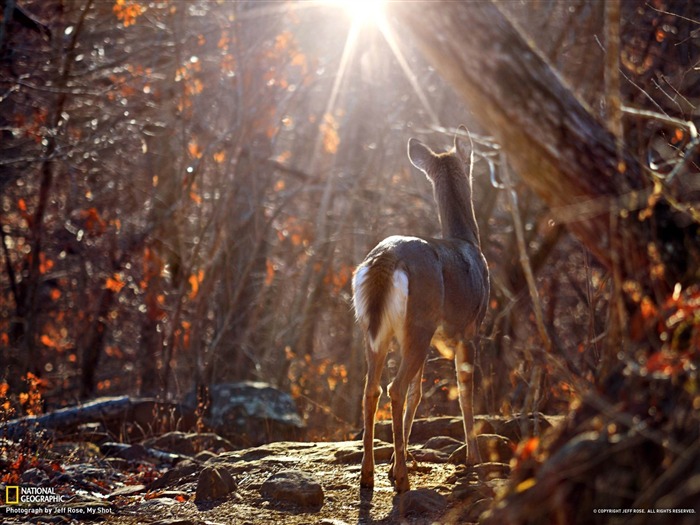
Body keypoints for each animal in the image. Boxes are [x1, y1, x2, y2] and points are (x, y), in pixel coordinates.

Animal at [352, 130, 490, 492]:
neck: (468, 241)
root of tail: (386, 258)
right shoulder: (470, 327)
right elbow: (464, 390)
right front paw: (473, 457)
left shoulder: (434, 338)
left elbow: (418, 393)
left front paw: (392, 462)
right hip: (419, 321)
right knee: (395, 388)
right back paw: (402, 479)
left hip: (376, 329)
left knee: (371, 389)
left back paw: (369, 475)